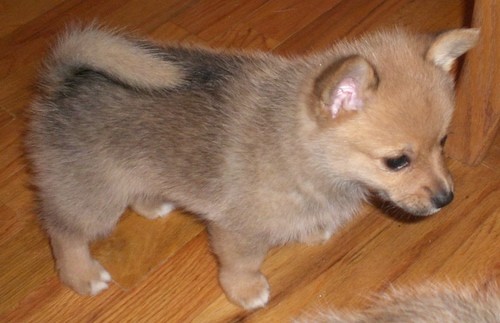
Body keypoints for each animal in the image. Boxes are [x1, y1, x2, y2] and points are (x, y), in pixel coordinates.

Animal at [25, 25, 478, 308]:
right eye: (396, 161)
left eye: (443, 142)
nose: (447, 199)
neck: (303, 152)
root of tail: (65, 82)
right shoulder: (236, 230)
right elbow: (241, 264)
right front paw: (245, 292)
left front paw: (310, 229)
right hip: (92, 196)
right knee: (64, 232)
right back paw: (81, 274)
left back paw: (152, 205)